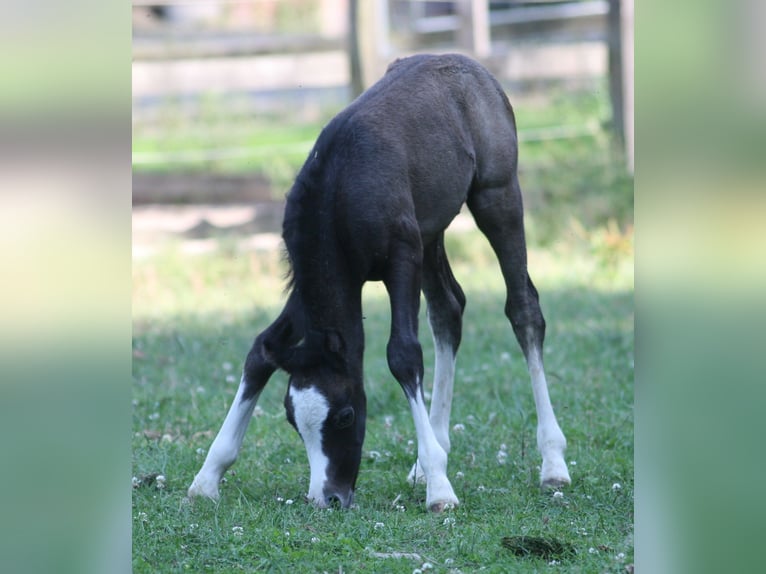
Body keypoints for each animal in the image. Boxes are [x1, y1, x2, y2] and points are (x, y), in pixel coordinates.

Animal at [188, 54, 568, 512]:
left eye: (346, 415)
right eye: (291, 420)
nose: (328, 498)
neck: (338, 192)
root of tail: (473, 67)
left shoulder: (401, 258)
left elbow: (403, 354)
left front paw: (440, 490)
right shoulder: (315, 283)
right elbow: (261, 350)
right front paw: (207, 477)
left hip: (497, 196)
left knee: (523, 308)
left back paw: (552, 463)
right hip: (431, 231)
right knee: (448, 310)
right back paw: (429, 458)